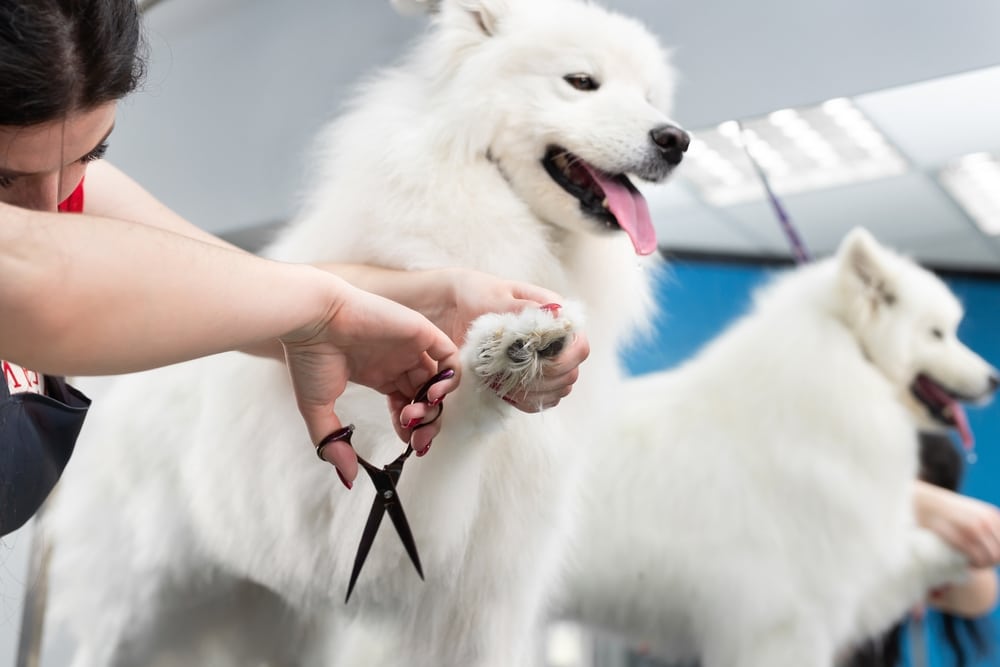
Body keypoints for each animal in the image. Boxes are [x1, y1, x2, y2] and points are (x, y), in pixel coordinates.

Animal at [35, 1, 684, 667]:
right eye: (581, 82)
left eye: (651, 97)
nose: (676, 140)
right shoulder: (360, 524)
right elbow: (443, 424)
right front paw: (507, 350)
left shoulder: (486, 599)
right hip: (136, 611)